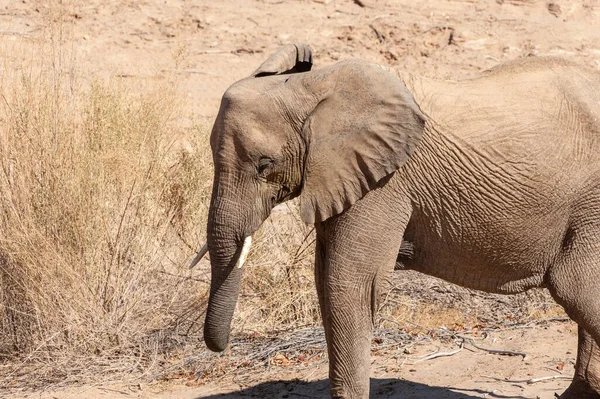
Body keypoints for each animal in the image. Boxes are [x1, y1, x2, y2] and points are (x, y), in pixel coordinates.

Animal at [191, 42, 600, 398]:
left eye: (264, 165)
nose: (220, 347)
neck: (313, 87)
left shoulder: (382, 184)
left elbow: (350, 284)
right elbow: (325, 279)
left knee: (576, 289)